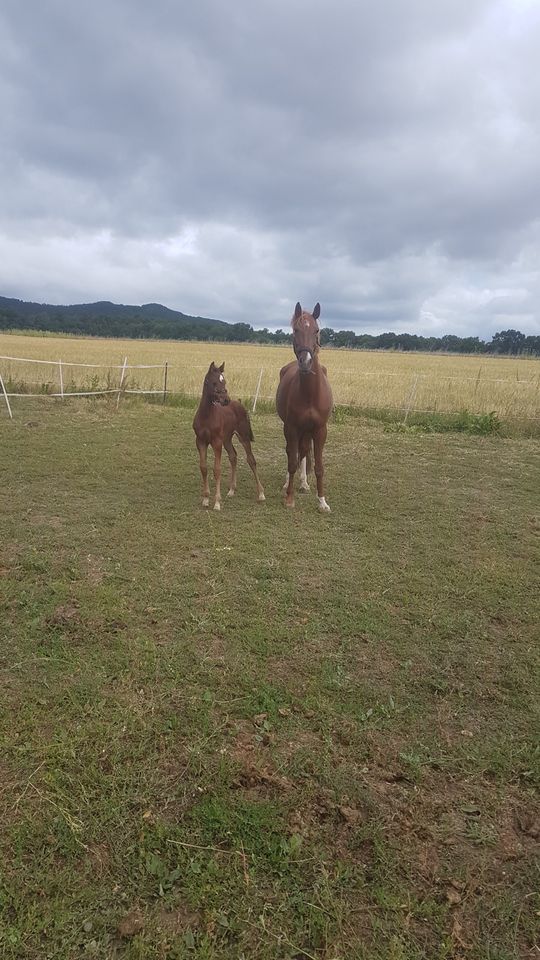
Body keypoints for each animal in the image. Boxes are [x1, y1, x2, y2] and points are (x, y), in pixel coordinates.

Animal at [192, 360, 266, 510]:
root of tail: (240, 403)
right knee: (233, 456)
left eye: (224, 381)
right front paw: (206, 499)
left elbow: (217, 469)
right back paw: (231, 490)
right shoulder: (201, 441)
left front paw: (217, 502)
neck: (207, 416)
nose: (226, 399)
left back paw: (261, 493)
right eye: (214, 382)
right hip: (227, 439)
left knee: (251, 460)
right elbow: (204, 468)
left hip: (243, 436)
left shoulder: (216, 442)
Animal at [276, 302, 332, 510]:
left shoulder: (320, 430)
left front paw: (322, 501)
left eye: (316, 330)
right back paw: (288, 483)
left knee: (304, 450)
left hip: (307, 431)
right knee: (292, 452)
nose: (306, 362)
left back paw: (304, 483)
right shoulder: (292, 428)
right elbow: (292, 460)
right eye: (295, 330)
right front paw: (289, 498)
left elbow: (318, 466)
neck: (310, 394)